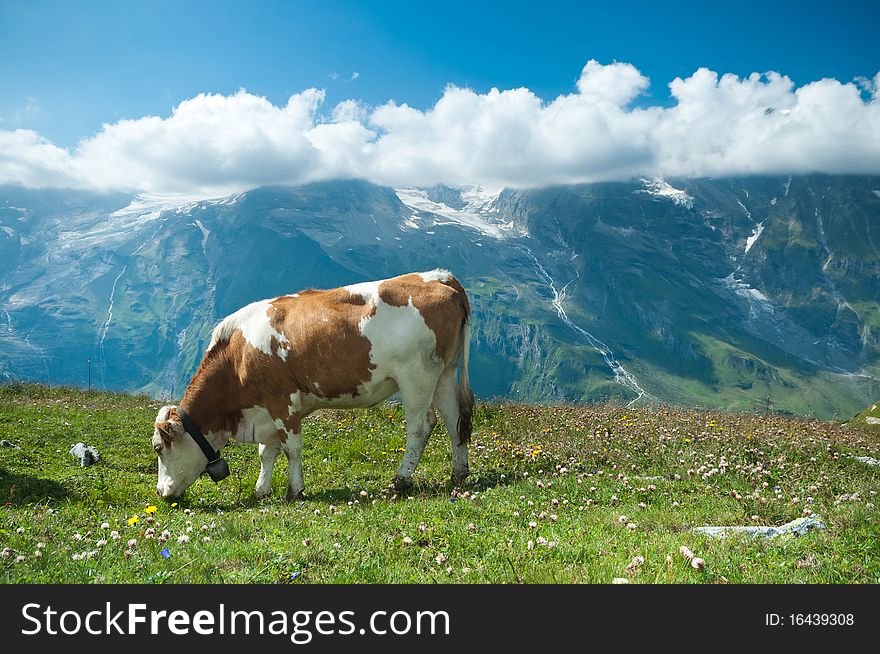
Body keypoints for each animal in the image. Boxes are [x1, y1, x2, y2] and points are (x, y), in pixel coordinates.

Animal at [151, 270, 474, 502]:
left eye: (159, 448)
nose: (161, 493)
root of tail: (438, 277)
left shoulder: (282, 401)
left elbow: (291, 449)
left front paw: (295, 490)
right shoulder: (265, 409)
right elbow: (266, 453)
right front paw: (261, 490)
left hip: (416, 377)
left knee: (421, 427)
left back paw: (401, 479)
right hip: (444, 373)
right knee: (454, 420)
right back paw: (459, 473)